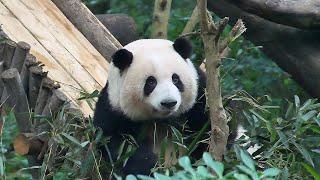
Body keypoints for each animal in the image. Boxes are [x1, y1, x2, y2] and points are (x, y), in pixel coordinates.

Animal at [93, 37, 208, 176]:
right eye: (151, 82)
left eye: (175, 79)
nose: (169, 103)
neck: (161, 120)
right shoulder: (113, 110)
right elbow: (119, 146)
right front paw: (149, 166)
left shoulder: (200, 95)